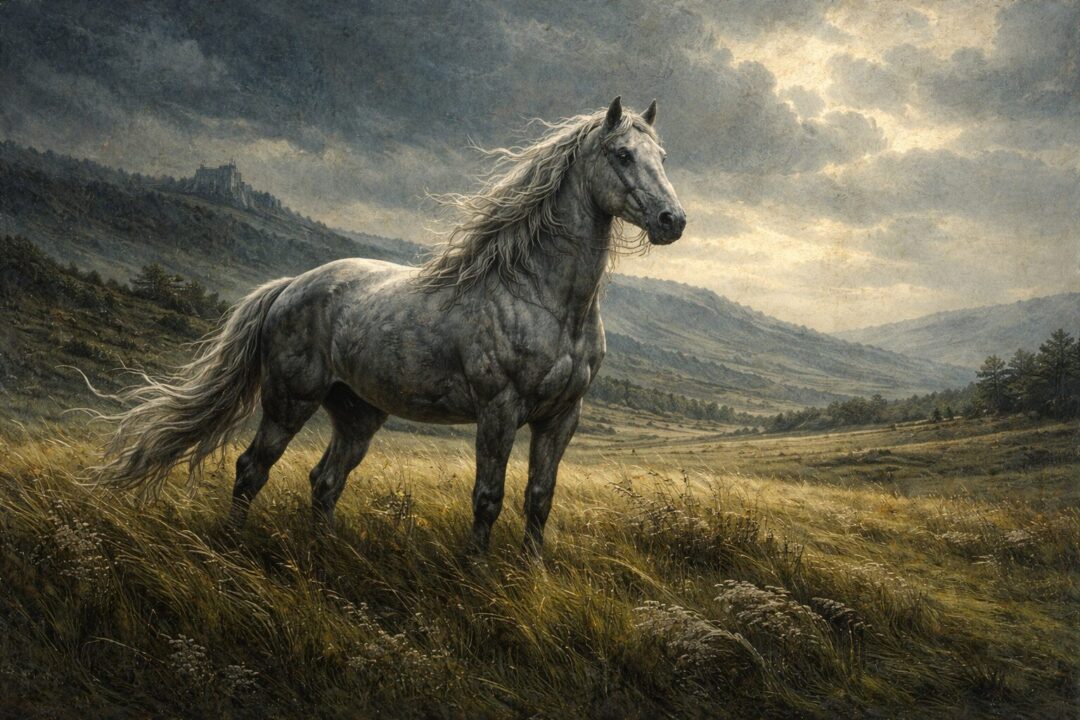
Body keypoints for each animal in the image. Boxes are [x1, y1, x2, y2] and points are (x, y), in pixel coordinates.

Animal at [98, 96, 686, 554]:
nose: (672, 221)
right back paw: (232, 544)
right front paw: (479, 577)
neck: (546, 299)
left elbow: (539, 500)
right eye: (622, 154)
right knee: (251, 469)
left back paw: (324, 553)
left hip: (357, 414)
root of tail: (289, 286)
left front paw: (531, 574)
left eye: (662, 156)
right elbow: (488, 498)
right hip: (290, 401)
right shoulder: (499, 411)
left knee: (325, 480)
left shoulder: (562, 417)